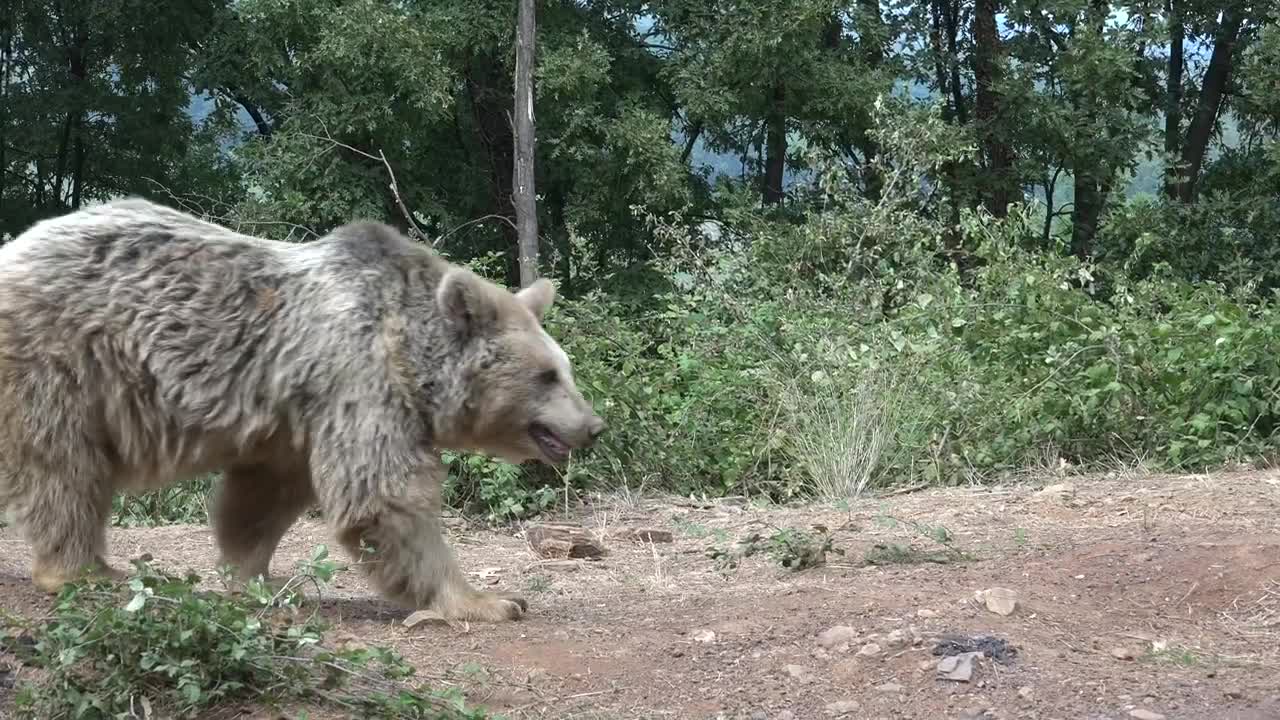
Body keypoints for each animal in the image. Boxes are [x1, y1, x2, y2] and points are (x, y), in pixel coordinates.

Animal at [0, 197, 605, 622]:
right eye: (547, 376)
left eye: (567, 368)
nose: (593, 427)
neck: (411, 359)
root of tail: (15, 247)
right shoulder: (358, 382)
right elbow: (384, 497)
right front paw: (487, 600)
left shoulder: (294, 419)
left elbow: (261, 499)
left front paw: (255, 577)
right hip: (62, 360)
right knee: (64, 466)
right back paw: (83, 570)